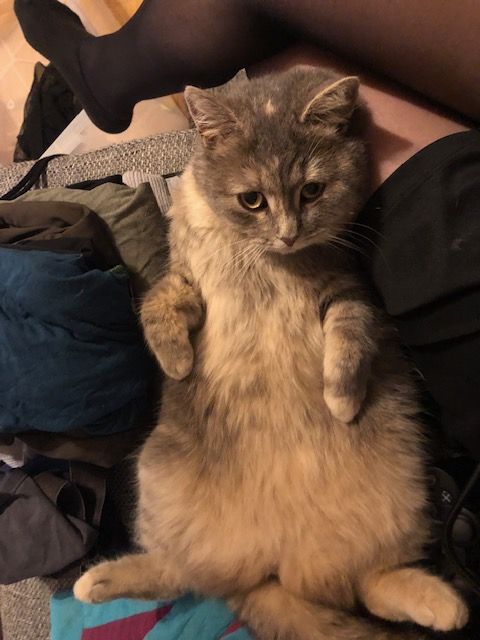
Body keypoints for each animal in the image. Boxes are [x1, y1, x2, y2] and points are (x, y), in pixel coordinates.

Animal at [74, 68, 468, 640]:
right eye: (252, 200)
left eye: (312, 190)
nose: (288, 235)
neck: (262, 257)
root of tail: (275, 564)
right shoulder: (185, 282)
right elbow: (158, 305)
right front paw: (178, 363)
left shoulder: (348, 290)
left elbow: (349, 344)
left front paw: (341, 402)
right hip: (155, 480)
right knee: (181, 572)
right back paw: (95, 581)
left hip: (406, 486)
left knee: (371, 583)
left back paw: (444, 604)